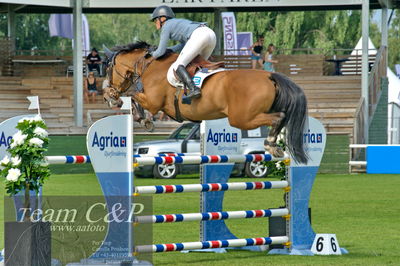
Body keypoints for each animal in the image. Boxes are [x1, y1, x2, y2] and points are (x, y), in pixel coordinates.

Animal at [103, 41, 310, 164]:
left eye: (108, 68)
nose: (107, 95)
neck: (150, 66)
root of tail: (269, 75)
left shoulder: (153, 102)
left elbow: (133, 95)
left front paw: (141, 118)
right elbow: (134, 96)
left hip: (242, 118)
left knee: (278, 117)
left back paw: (270, 145)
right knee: (282, 117)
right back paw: (275, 145)